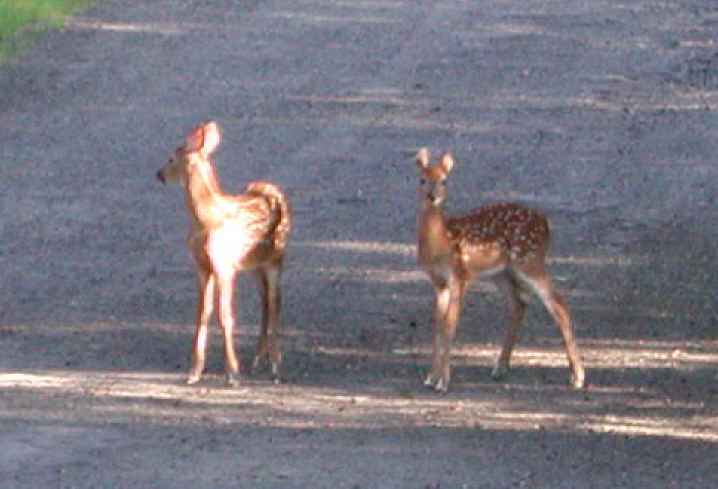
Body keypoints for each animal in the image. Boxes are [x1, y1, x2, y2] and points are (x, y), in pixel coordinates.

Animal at [156, 121, 291, 386]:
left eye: (171, 158)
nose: (159, 174)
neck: (205, 220)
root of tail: (274, 189)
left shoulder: (224, 266)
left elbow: (225, 315)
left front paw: (232, 373)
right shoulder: (202, 266)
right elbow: (203, 313)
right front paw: (194, 371)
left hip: (275, 258)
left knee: (275, 301)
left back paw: (275, 365)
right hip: (254, 265)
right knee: (265, 300)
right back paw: (258, 360)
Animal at [414, 148, 585, 393]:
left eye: (444, 181)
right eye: (422, 179)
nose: (432, 196)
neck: (442, 241)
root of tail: (547, 224)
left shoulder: (460, 276)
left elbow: (450, 326)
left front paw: (443, 381)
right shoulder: (438, 283)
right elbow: (438, 327)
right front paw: (430, 377)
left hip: (529, 261)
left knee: (559, 304)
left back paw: (578, 376)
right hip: (502, 273)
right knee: (520, 304)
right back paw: (500, 367)